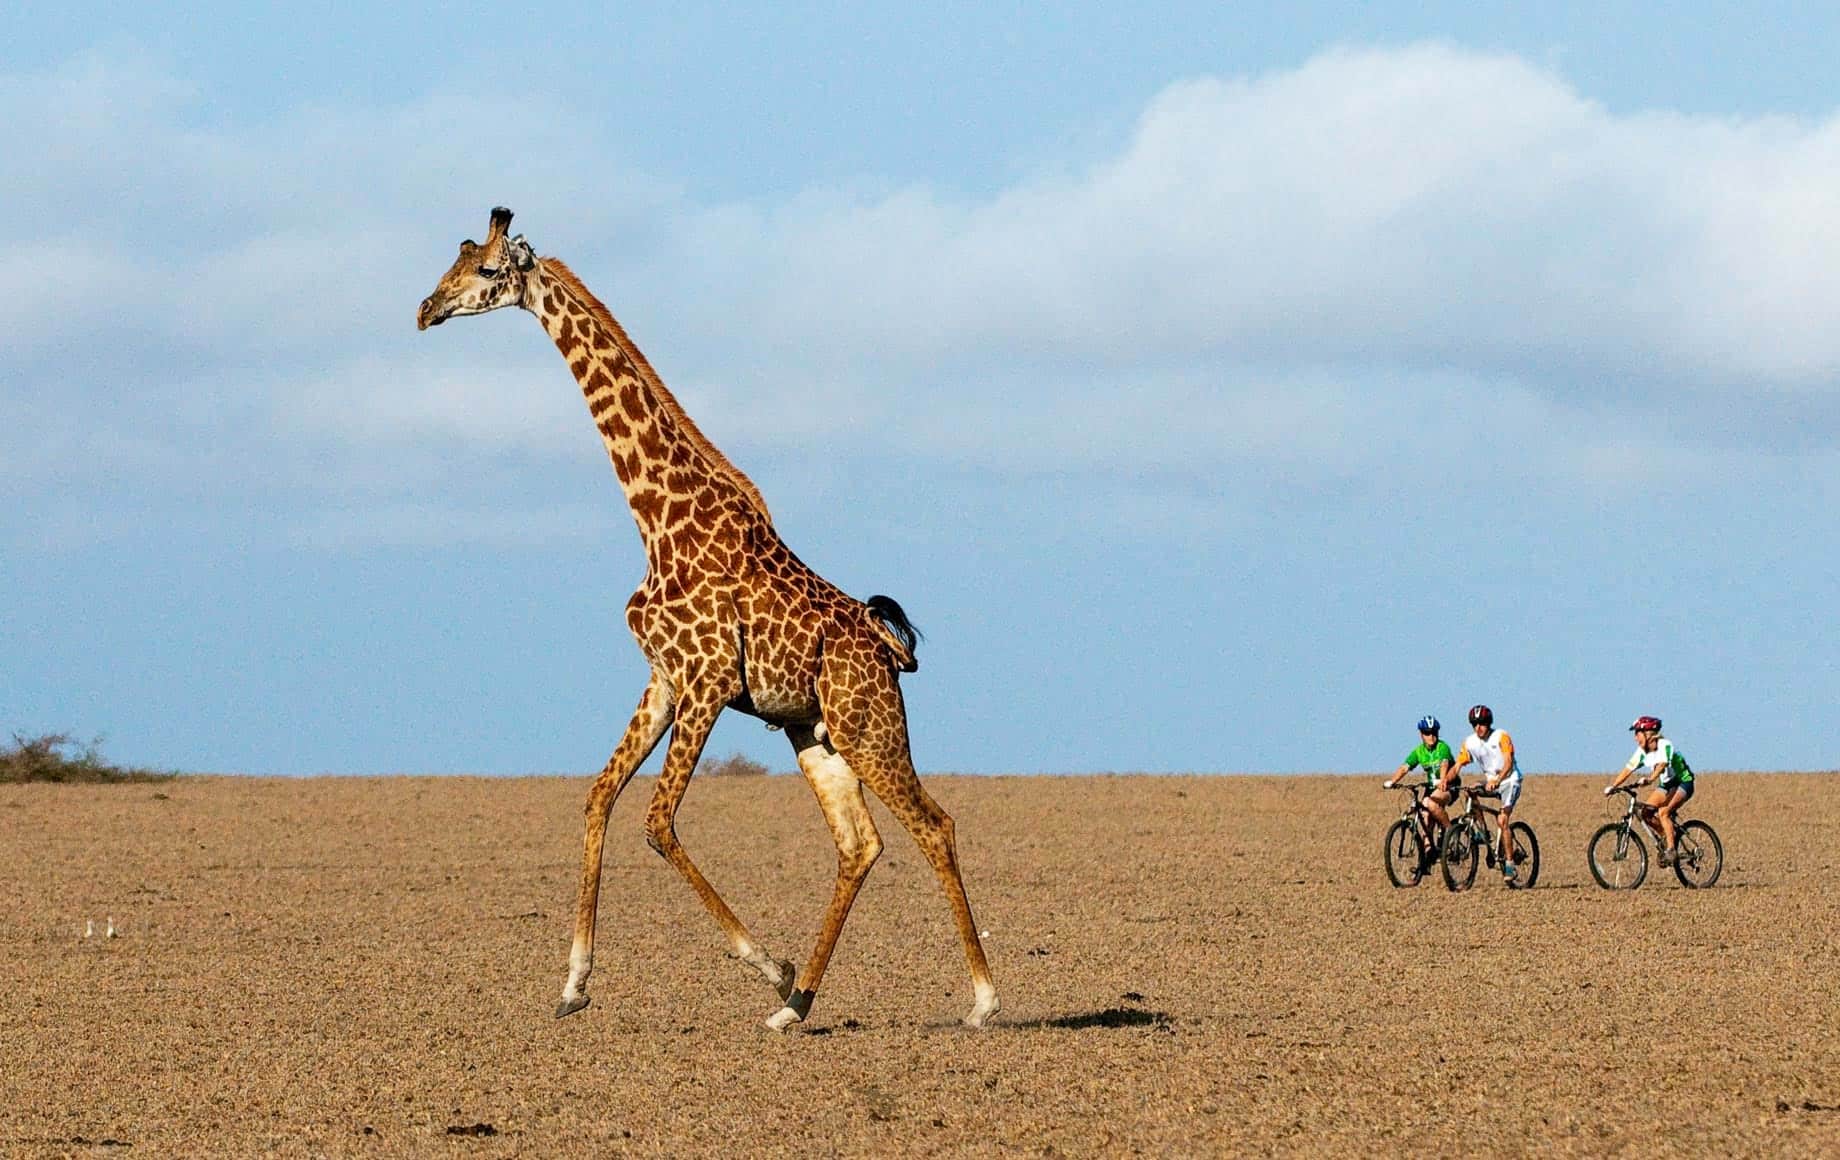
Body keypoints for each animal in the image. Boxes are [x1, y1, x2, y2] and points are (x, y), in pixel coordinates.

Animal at [415, 208, 1000, 1038]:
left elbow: (658, 822)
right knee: (860, 845)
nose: (427, 309)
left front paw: (768, 964)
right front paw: (574, 984)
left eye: (488, 272)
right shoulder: (664, 678)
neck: (656, 518)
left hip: (868, 727)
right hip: (814, 734)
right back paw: (796, 1007)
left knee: (934, 825)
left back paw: (979, 1000)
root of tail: (889, 649)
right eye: (456, 260)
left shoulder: (709, 679)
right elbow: (599, 796)